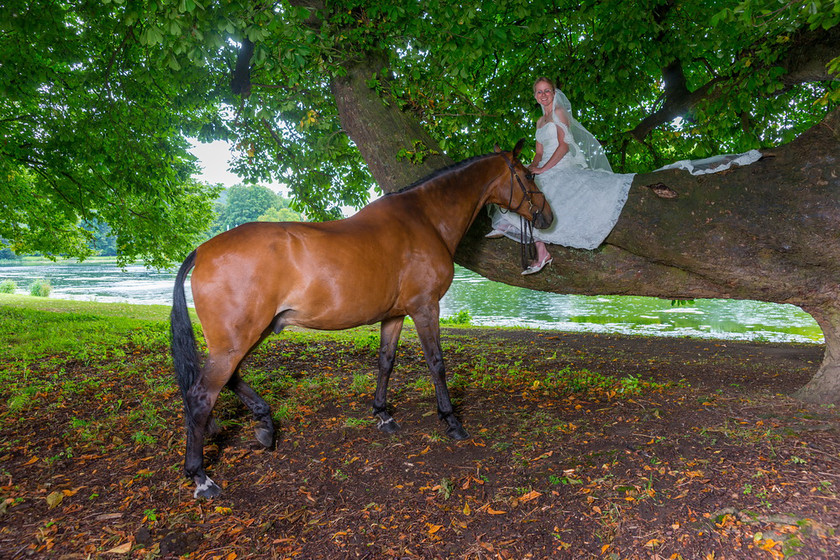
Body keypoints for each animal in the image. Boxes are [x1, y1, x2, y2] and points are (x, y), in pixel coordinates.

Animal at [170, 141, 552, 498]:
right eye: (528, 175)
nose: (547, 217)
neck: (425, 219)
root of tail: (202, 250)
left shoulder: (395, 315)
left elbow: (386, 361)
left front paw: (383, 414)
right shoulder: (425, 308)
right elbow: (436, 363)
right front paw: (451, 420)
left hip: (249, 335)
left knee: (230, 378)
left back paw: (264, 424)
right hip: (235, 341)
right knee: (202, 396)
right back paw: (201, 476)